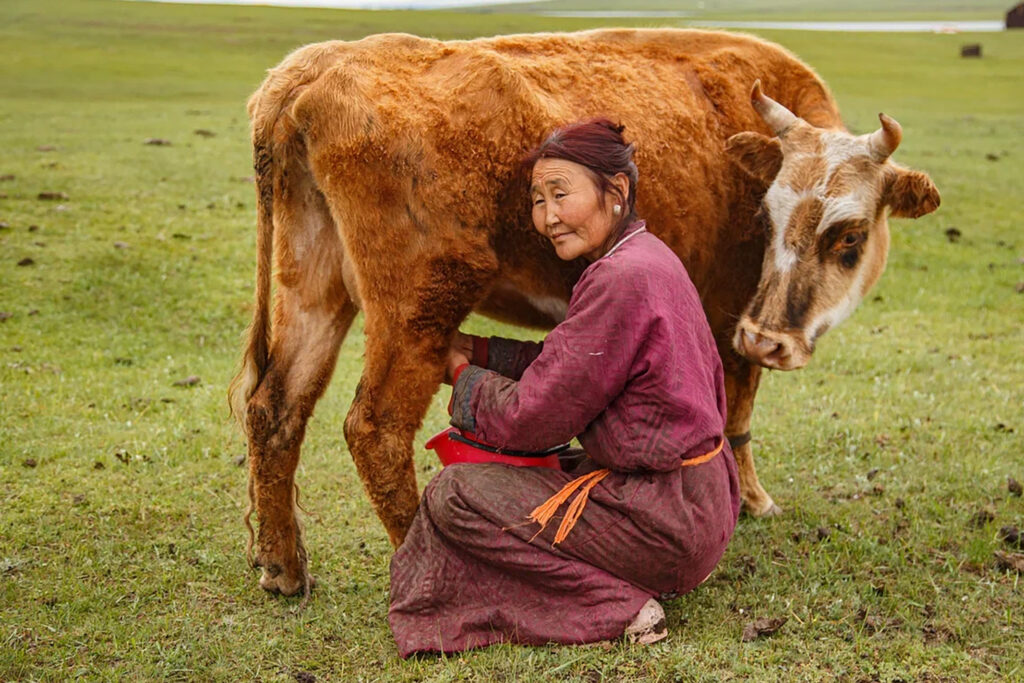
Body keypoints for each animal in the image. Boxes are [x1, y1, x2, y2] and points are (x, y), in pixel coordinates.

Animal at [228, 28, 937, 593]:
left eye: (849, 236)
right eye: (766, 215)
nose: (772, 339)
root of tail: (314, 68)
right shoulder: (730, 313)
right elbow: (737, 403)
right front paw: (755, 500)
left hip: (315, 287)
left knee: (275, 407)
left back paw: (283, 568)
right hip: (419, 307)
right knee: (373, 428)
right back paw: (423, 556)